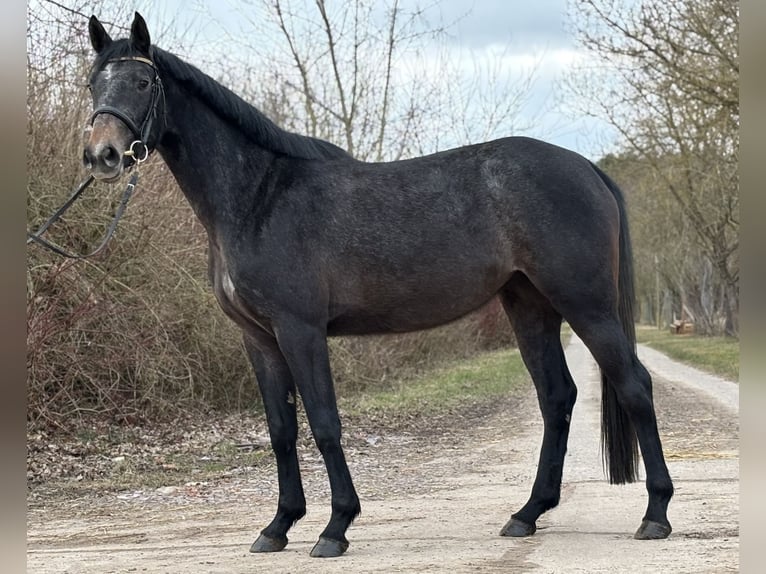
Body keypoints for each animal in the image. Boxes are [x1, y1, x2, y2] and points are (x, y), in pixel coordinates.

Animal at [81, 12, 676, 560]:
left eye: (142, 81)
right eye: (92, 83)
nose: (101, 155)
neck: (259, 197)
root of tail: (587, 168)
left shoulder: (300, 331)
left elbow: (324, 424)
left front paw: (335, 527)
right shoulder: (259, 339)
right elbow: (280, 431)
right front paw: (278, 526)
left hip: (587, 305)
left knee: (634, 386)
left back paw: (655, 515)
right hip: (529, 306)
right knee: (557, 397)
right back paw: (527, 514)